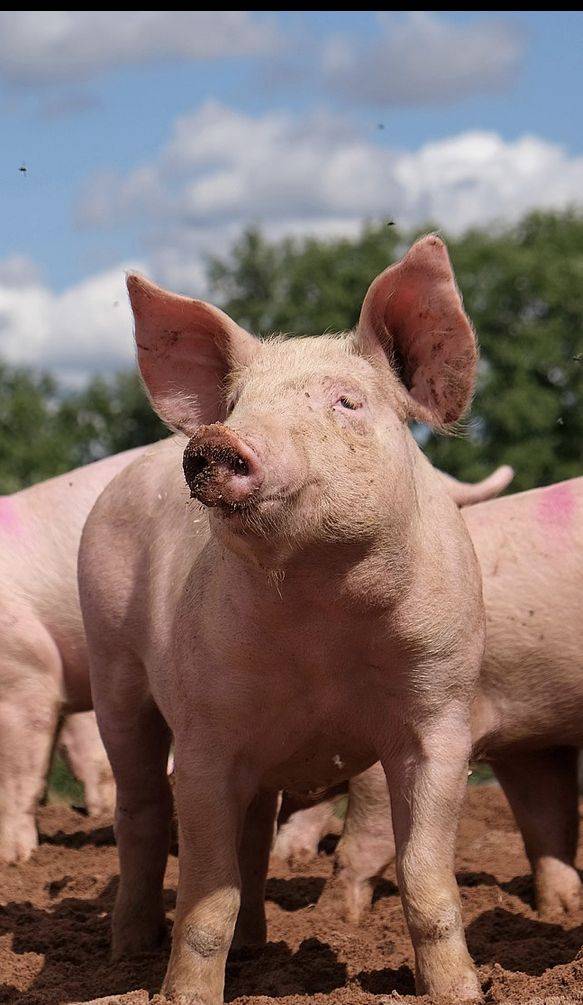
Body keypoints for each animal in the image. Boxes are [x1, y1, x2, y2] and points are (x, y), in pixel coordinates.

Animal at [79, 235, 488, 1003]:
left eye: (347, 401)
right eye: (239, 403)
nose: (215, 440)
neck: (321, 617)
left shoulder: (442, 715)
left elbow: (425, 880)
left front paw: (460, 994)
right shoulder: (205, 735)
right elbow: (205, 897)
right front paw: (184, 996)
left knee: (253, 838)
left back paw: (254, 951)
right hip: (112, 666)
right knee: (140, 812)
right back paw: (124, 956)